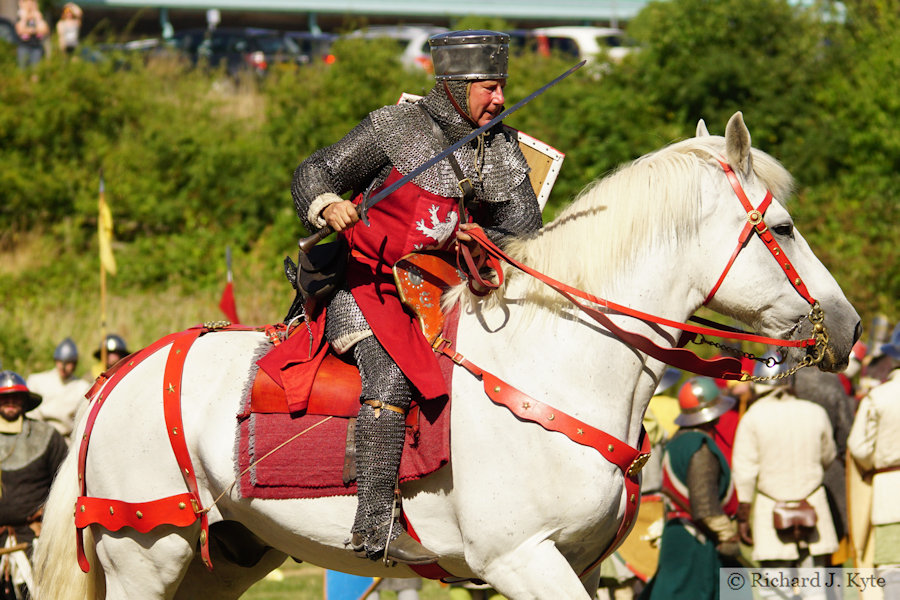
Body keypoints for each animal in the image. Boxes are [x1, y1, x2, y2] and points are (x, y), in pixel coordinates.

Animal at [31, 111, 856, 596]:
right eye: (783, 228)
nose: (846, 328)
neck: (558, 363)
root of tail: (124, 374)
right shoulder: (521, 558)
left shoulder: (574, 562)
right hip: (146, 553)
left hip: (224, 560)